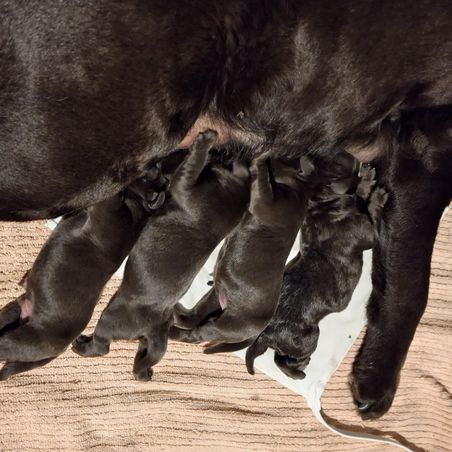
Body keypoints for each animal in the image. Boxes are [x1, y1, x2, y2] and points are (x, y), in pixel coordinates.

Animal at [0, 167, 166, 379]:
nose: (156, 166)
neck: (139, 209)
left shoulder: (107, 208)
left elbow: (112, 193)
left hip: (22, 340)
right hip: (12, 312)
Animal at [72, 131, 250, 380]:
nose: (227, 148)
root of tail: (155, 327)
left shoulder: (184, 185)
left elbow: (191, 166)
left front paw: (204, 141)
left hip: (109, 320)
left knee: (102, 346)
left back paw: (81, 346)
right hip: (150, 344)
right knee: (145, 358)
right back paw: (143, 373)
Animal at [170, 156, 311, 349]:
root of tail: (257, 332)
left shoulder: (267, 203)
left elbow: (263, 184)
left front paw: (259, 163)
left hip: (227, 325)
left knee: (196, 334)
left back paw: (171, 331)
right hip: (215, 297)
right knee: (196, 317)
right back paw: (178, 315)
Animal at [244, 155, 387, 380]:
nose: (356, 157)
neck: (320, 202)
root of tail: (265, 334)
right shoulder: (368, 232)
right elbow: (370, 211)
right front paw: (373, 190)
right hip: (308, 338)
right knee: (283, 362)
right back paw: (301, 370)